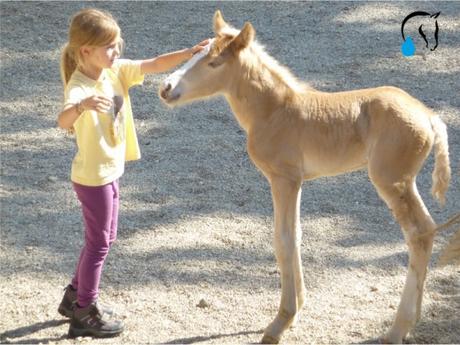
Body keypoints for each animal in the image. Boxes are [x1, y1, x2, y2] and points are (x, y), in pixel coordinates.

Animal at [158, 10, 450, 342]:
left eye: (214, 63)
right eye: (196, 53)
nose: (166, 87)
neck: (274, 111)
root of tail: (428, 116)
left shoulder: (284, 179)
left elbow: (283, 239)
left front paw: (281, 320)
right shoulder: (294, 182)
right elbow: (295, 235)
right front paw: (297, 308)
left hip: (391, 180)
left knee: (419, 233)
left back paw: (398, 328)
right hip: (403, 181)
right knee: (426, 231)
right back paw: (412, 322)